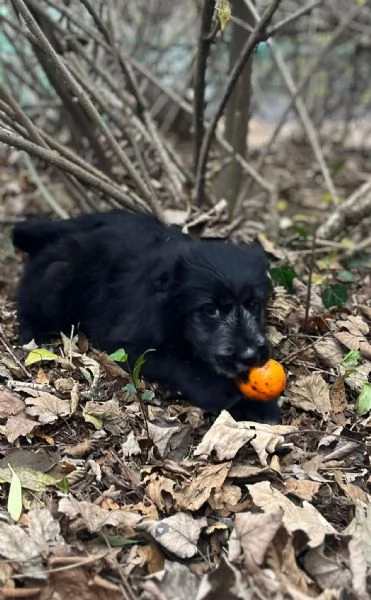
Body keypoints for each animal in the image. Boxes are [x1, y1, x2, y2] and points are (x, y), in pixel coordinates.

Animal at [13, 211, 280, 422]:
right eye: (210, 310)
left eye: (253, 304)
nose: (250, 355)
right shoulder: (126, 345)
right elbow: (180, 365)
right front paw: (218, 390)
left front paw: (262, 406)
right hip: (59, 276)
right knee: (29, 302)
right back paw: (36, 338)